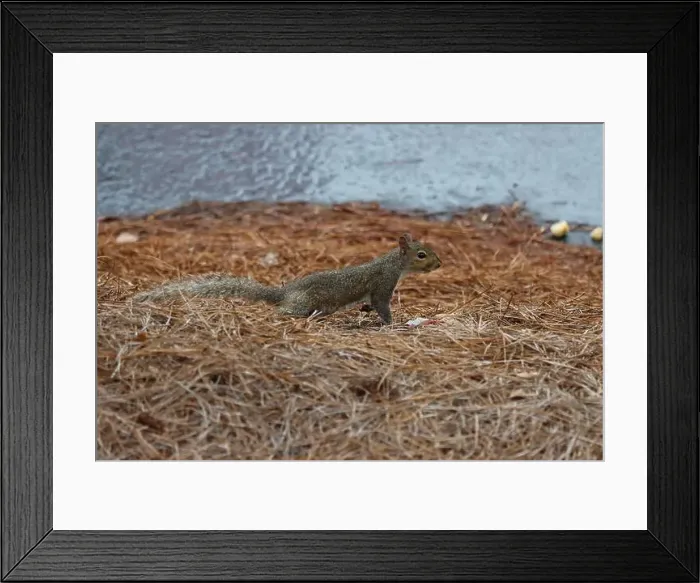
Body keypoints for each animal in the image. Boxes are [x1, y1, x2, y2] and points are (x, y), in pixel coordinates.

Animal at [132, 233, 441, 325]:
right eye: (422, 255)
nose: (439, 263)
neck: (393, 263)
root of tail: (284, 293)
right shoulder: (382, 284)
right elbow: (382, 306)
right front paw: (390, 323)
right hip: (302, 304)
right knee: (283, 311)